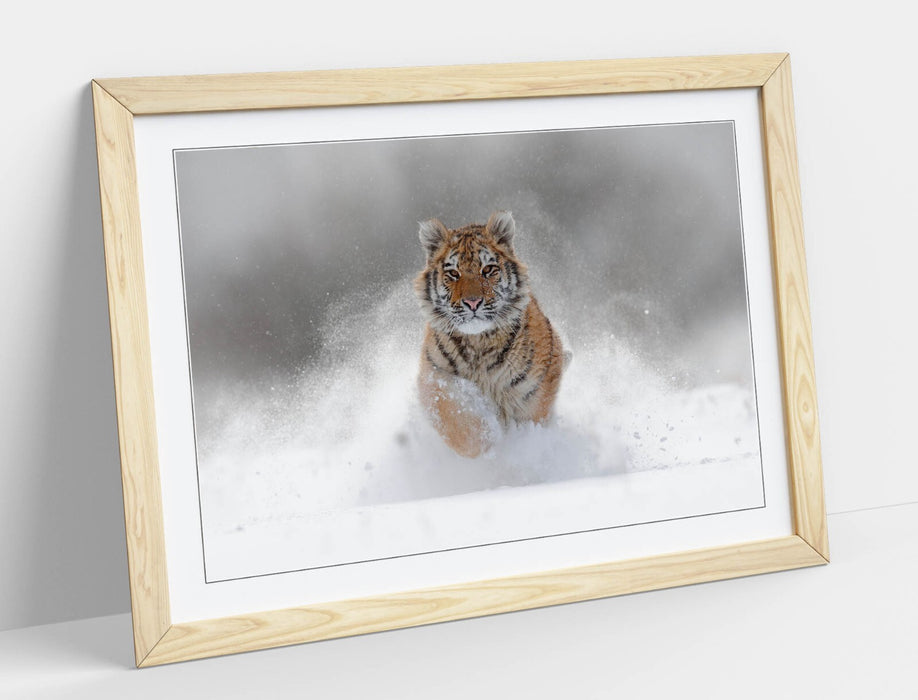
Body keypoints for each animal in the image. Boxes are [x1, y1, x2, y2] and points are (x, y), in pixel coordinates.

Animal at [414, 211, 567, 458]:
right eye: (453, 273)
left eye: (487, 269)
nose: (472, 302)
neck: (479, 343)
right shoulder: (435, 377)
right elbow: (458, 423)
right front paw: (487, 443)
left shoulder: (534, 390)